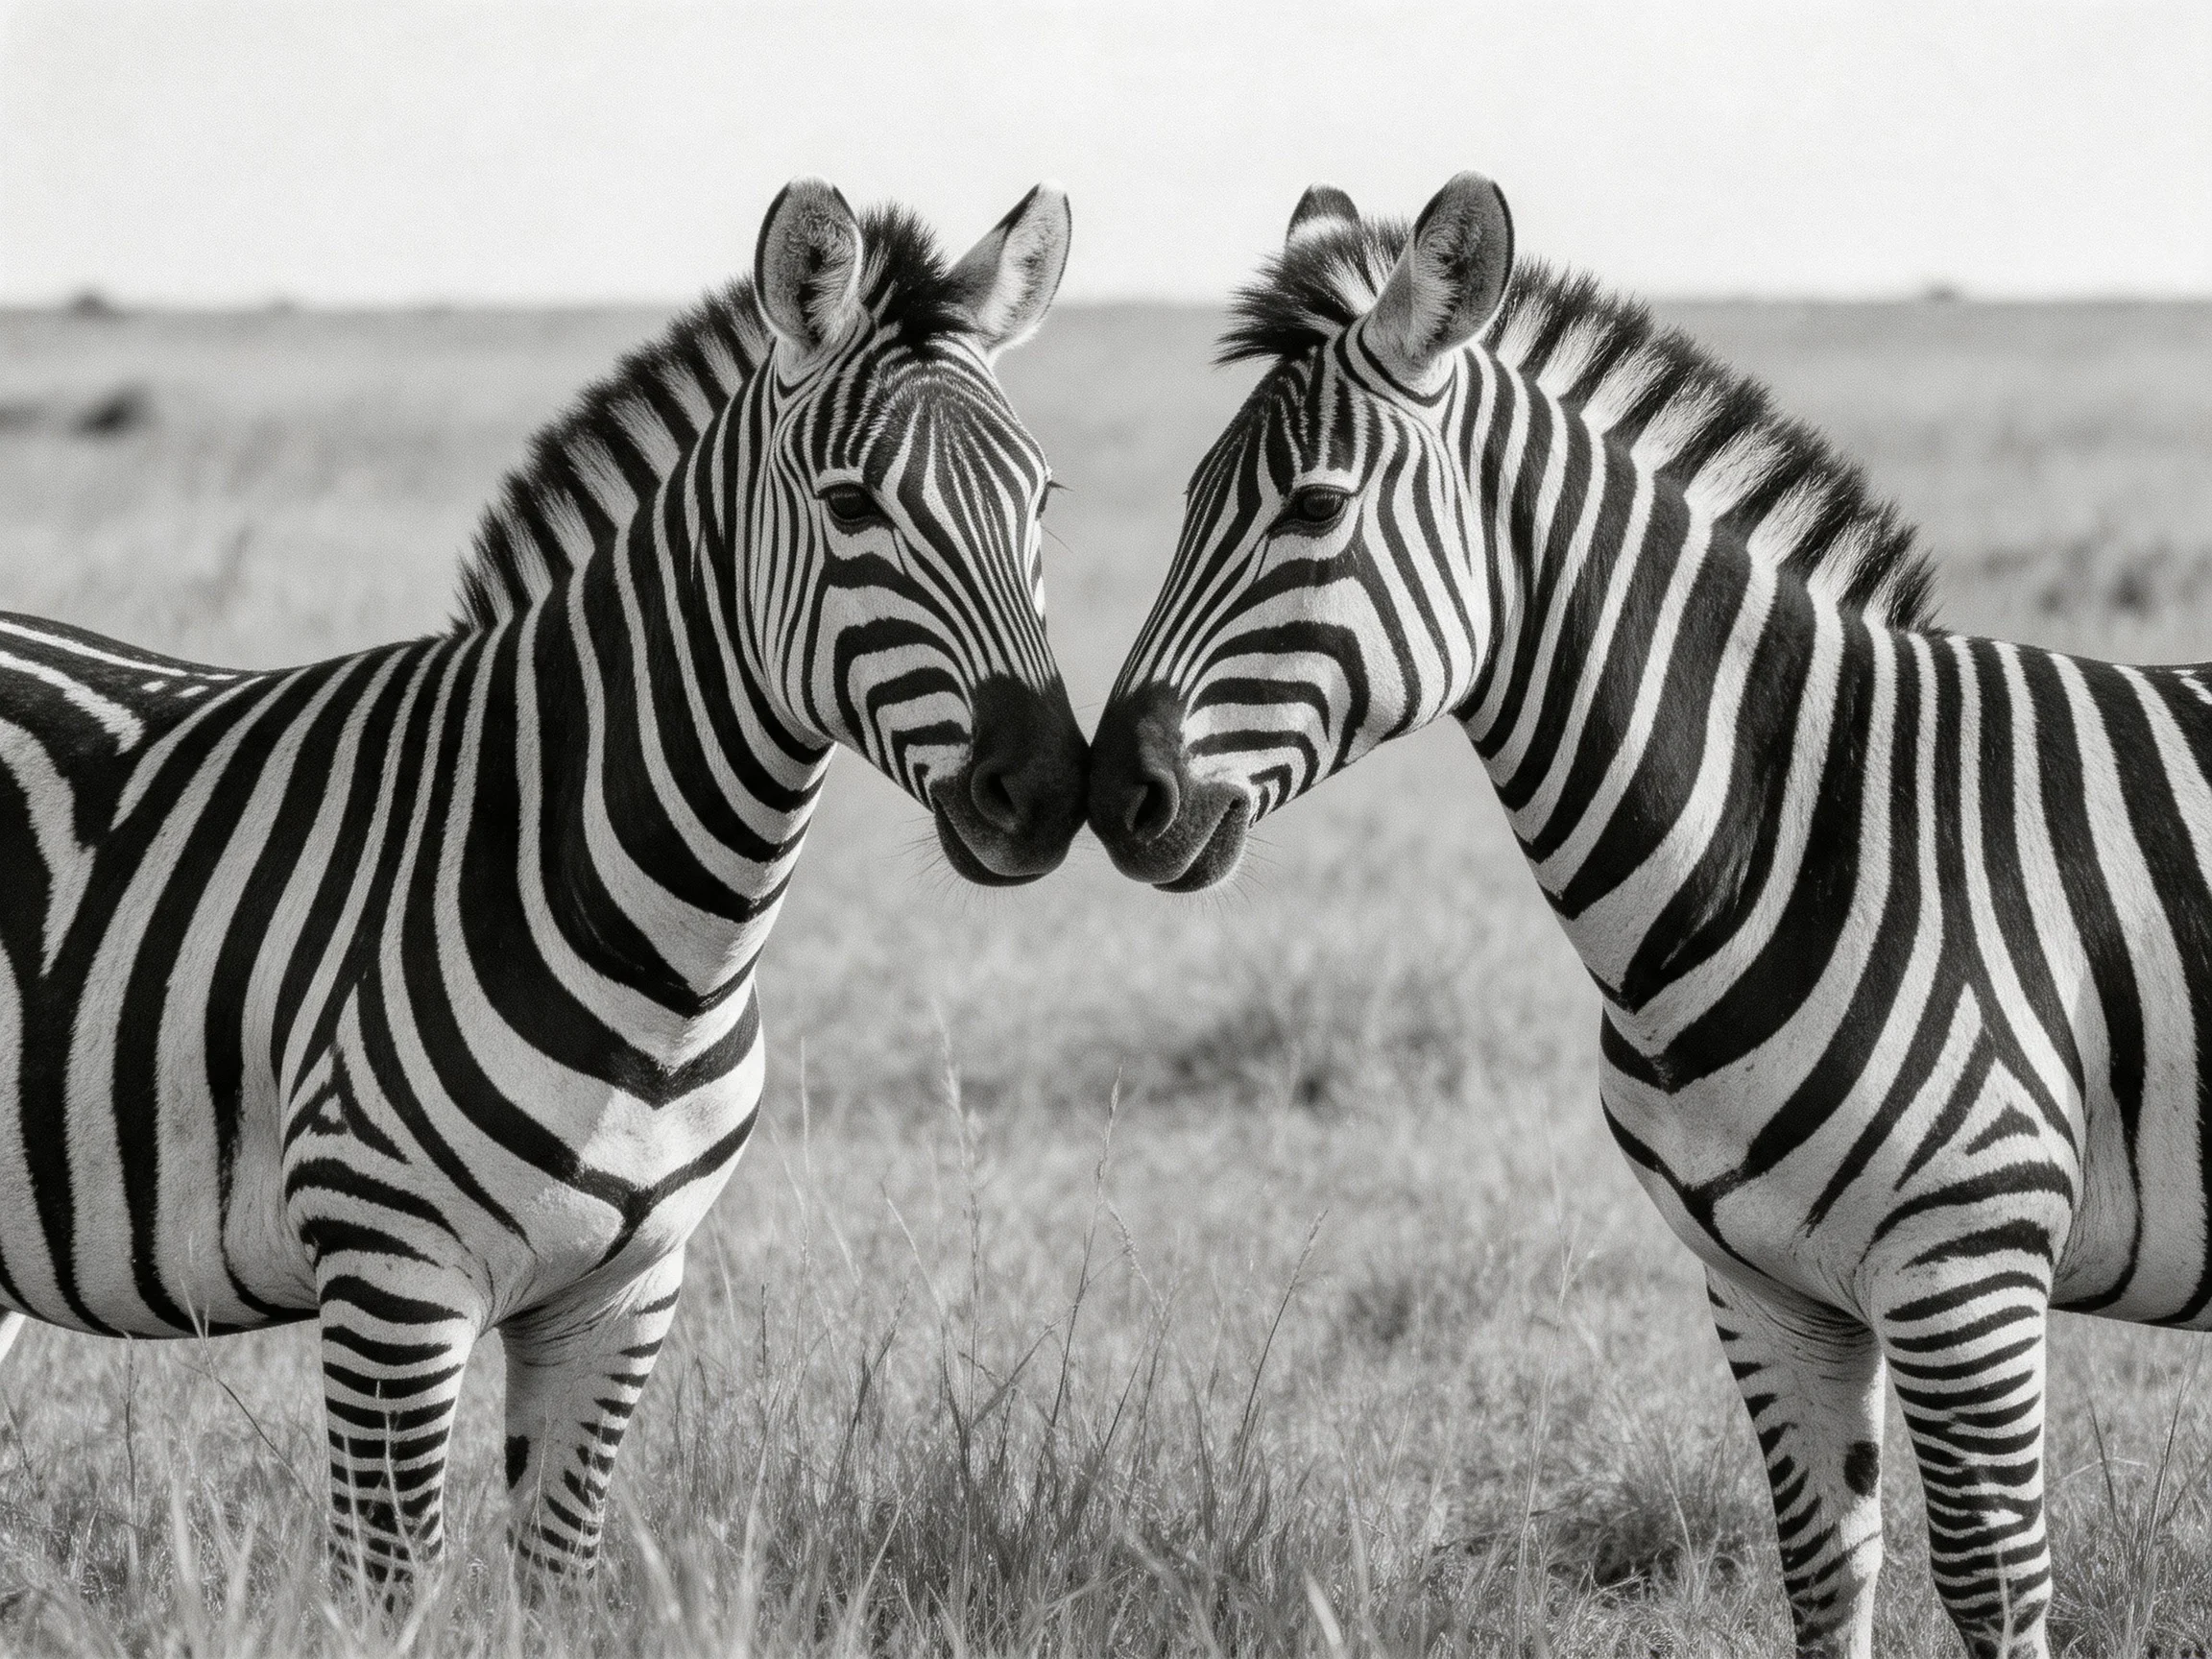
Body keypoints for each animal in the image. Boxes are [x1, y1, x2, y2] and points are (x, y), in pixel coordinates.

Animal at [0, 177, 1085, 1590]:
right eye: (852, 506)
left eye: (1043, 501)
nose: (1050, 790)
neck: (669, 948)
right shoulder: (393, 1278)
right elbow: (389, 1588)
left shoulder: (622, 1296)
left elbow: (557, 1577)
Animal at [1086, 171, 2212, 1658]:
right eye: (1189, 503)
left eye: (1314, 509)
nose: (1112, 794)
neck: (1790, 833)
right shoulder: (1767, 1292)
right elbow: (1824, 1574)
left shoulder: (1966, 1268)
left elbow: (1993, 1587)